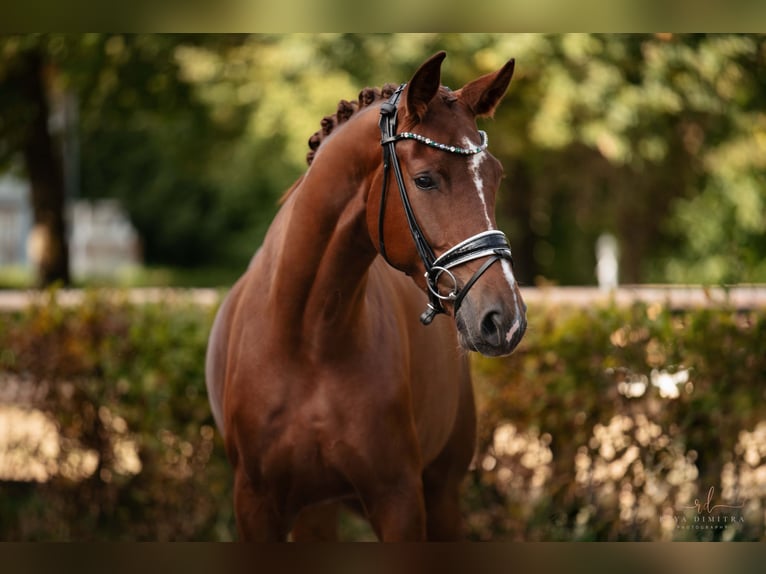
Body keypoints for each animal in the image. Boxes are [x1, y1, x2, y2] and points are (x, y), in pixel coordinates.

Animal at [204, 51, 528, 544]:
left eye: (495, 177)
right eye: (425, 179)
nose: (504, 320)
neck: (309, 340)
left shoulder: (399, 500)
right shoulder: (255, 505)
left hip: (442, 496)